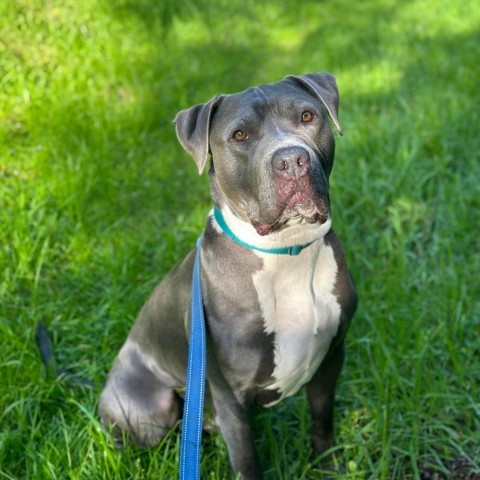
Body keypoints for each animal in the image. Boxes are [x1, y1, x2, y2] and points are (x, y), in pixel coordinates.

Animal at [99, 72, 358, 480]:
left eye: (307, 116)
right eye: (239, 136)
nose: (292, 160)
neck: (285, 252)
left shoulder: (331, 358)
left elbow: (322, 423)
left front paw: (330, 468)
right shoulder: (230, 400)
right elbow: (248, 462)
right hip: (151, 411)